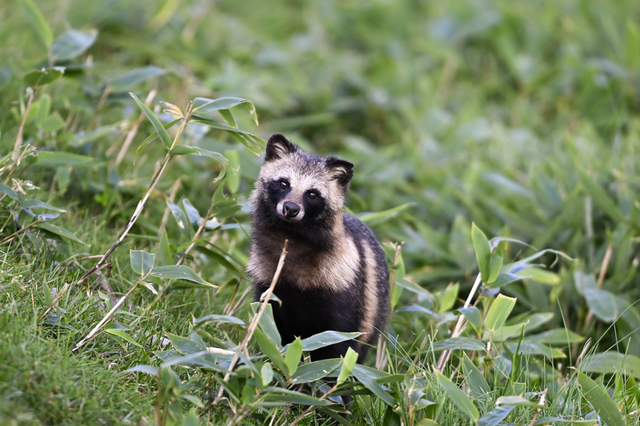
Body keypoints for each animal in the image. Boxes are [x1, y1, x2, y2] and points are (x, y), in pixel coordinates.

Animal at [249, 134, 390, 362]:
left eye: (312, 194)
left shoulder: (343, 288)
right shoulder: (268, 284)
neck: (292, 237)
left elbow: (339, 345)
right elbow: (270, 327)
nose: (290, 209)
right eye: (283, 183)